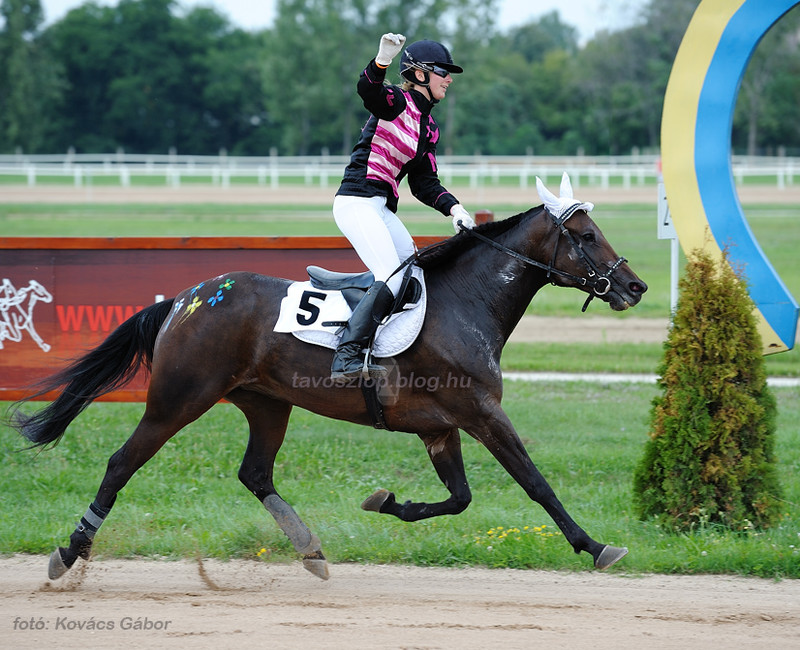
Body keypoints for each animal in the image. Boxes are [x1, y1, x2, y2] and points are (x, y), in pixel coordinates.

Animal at [9, 177, 648, 576]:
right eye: (586, 236)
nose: (635, 285)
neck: (465, 303)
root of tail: (183, 301)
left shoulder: (440, 428)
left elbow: (459, 498)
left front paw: (387, 502)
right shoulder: (481, 413)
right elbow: (535, 483)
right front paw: (594, 546)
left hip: (267, 403)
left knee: (255, 473)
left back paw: (310, 548)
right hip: (178, 399)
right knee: (122, 462)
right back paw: (70, 550)